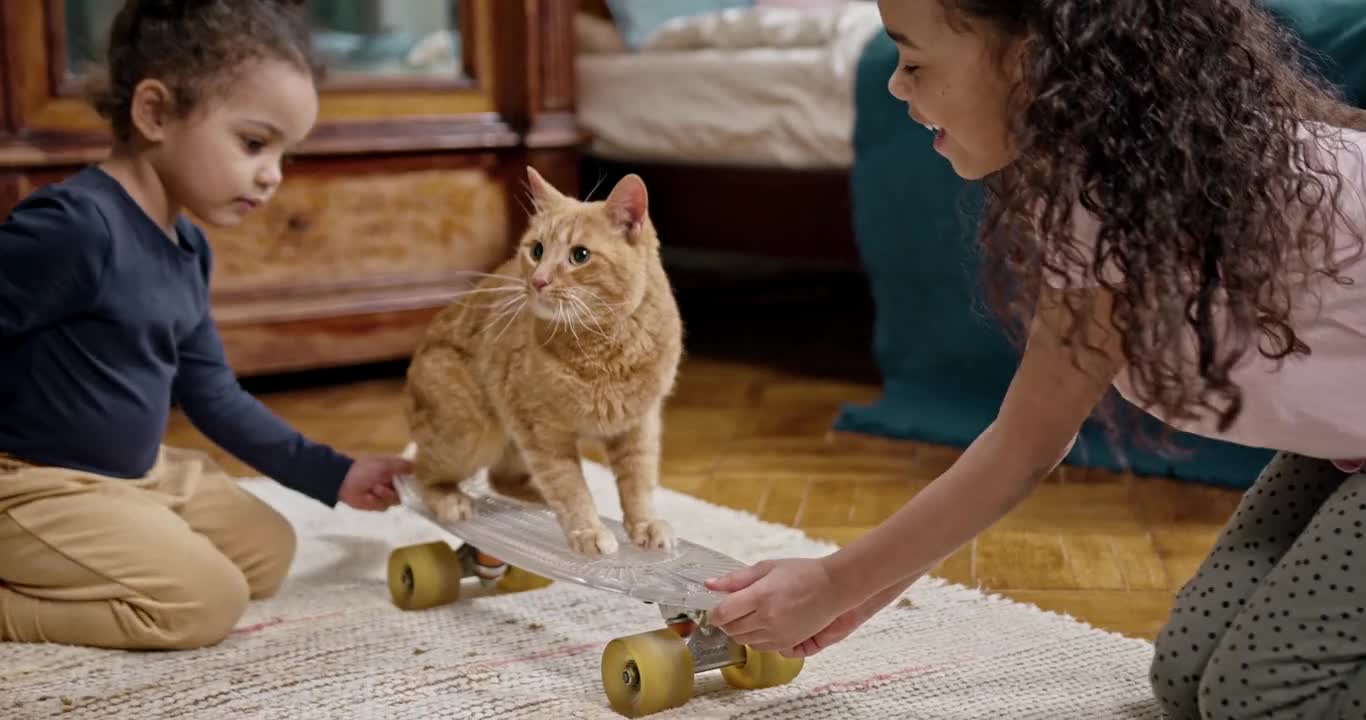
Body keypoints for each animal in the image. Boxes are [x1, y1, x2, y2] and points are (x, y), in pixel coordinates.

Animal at [401, 169, 683, 557]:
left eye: (580, 255)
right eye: (537, 250)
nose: (538, 281)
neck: (601, 346)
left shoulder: (638, 425)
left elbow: (638, 483)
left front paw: (644, 525)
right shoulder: (542, 432)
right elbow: (570, 486)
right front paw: (587, 530)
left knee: (501, 478)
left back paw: (537, 499)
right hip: (469, 433)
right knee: (420, 472)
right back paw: (449, 499)